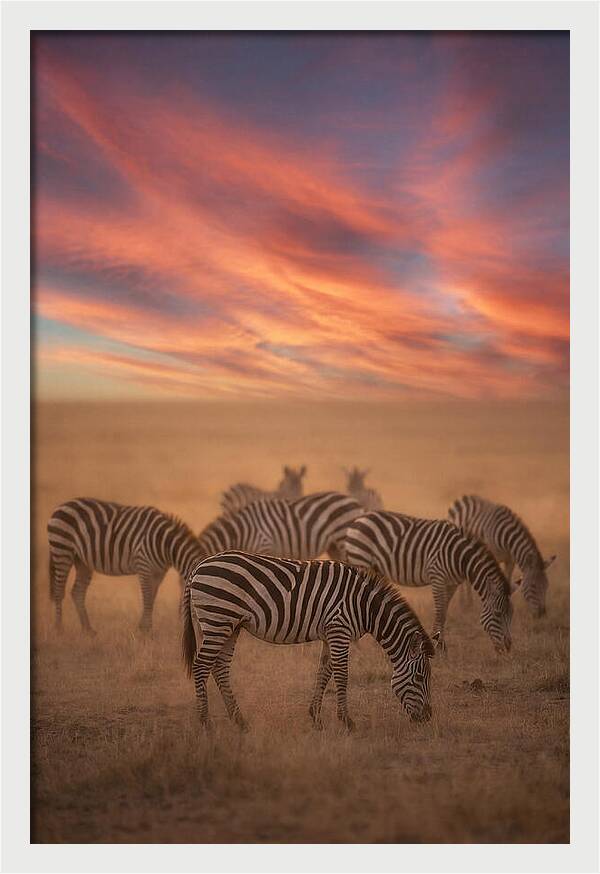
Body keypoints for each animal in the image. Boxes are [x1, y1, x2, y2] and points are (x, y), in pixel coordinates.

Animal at [48, 498, 204, 634]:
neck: (165, 544)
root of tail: (62, 505)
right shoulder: (143, 565)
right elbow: (147, 597)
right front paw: (146, 631)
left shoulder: (159, 573)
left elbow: (152, 598)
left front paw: (143, 628)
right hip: (62, 550)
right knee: (59, 590)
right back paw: (59, 629)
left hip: (82, 561)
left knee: (77, 592)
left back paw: (88, 630)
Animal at [181, 550, 437, 731]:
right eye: (420, 677)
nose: (427, 717)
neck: (365, 606)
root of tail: (199, 566)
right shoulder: (339, 629)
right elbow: (342, 675)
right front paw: (347, 721)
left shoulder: (330, 633)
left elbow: (324, 673)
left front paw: (315, 718)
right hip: (218, 619)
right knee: (201, 666)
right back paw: (205, 722)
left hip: (229, 625)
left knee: (220, 667)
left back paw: (239, 721)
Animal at [341, 511, 515, 654]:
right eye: (497, 614)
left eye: (511, 614)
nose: (507, 648)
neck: (460, 557)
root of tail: (359, 519)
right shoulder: (437, 576)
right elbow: (439, 611)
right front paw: (439, 645)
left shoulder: (452, 583)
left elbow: (444, 612)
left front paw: (441, 645)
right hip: (361, 558)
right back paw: (357, 646)